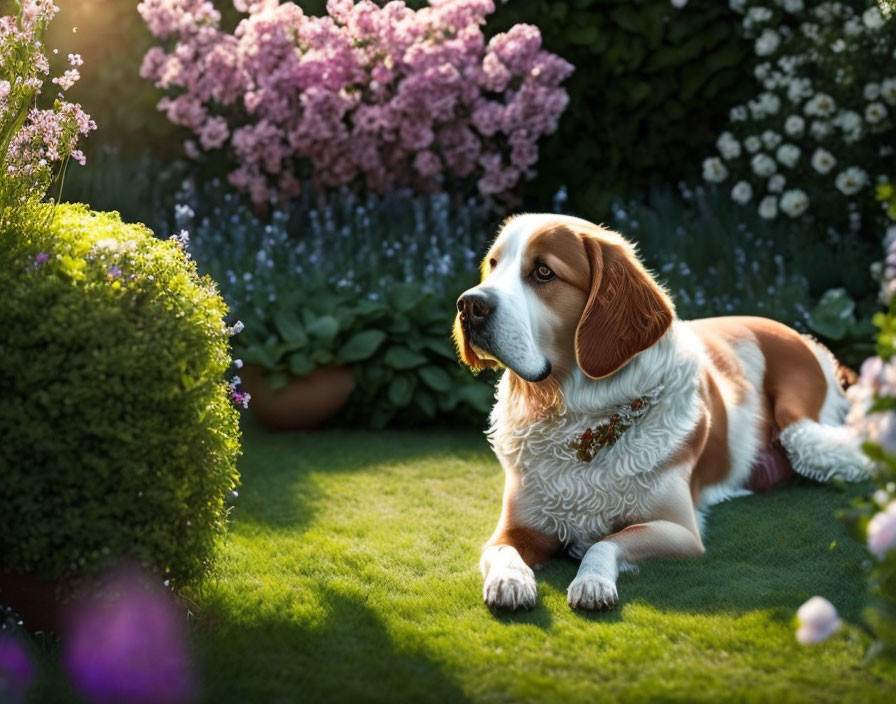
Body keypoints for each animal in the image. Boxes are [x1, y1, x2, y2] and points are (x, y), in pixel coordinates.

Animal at [456, 213, 868, 612]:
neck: (576, 419)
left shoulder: (680, 531)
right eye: (493, 265)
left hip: (803, 430)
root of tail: (801, 335)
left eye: (543, 272)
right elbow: (501, 550)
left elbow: (605, 542)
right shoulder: (514, 527)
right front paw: (510, 580)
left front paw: (592, 580)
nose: (469, 305)